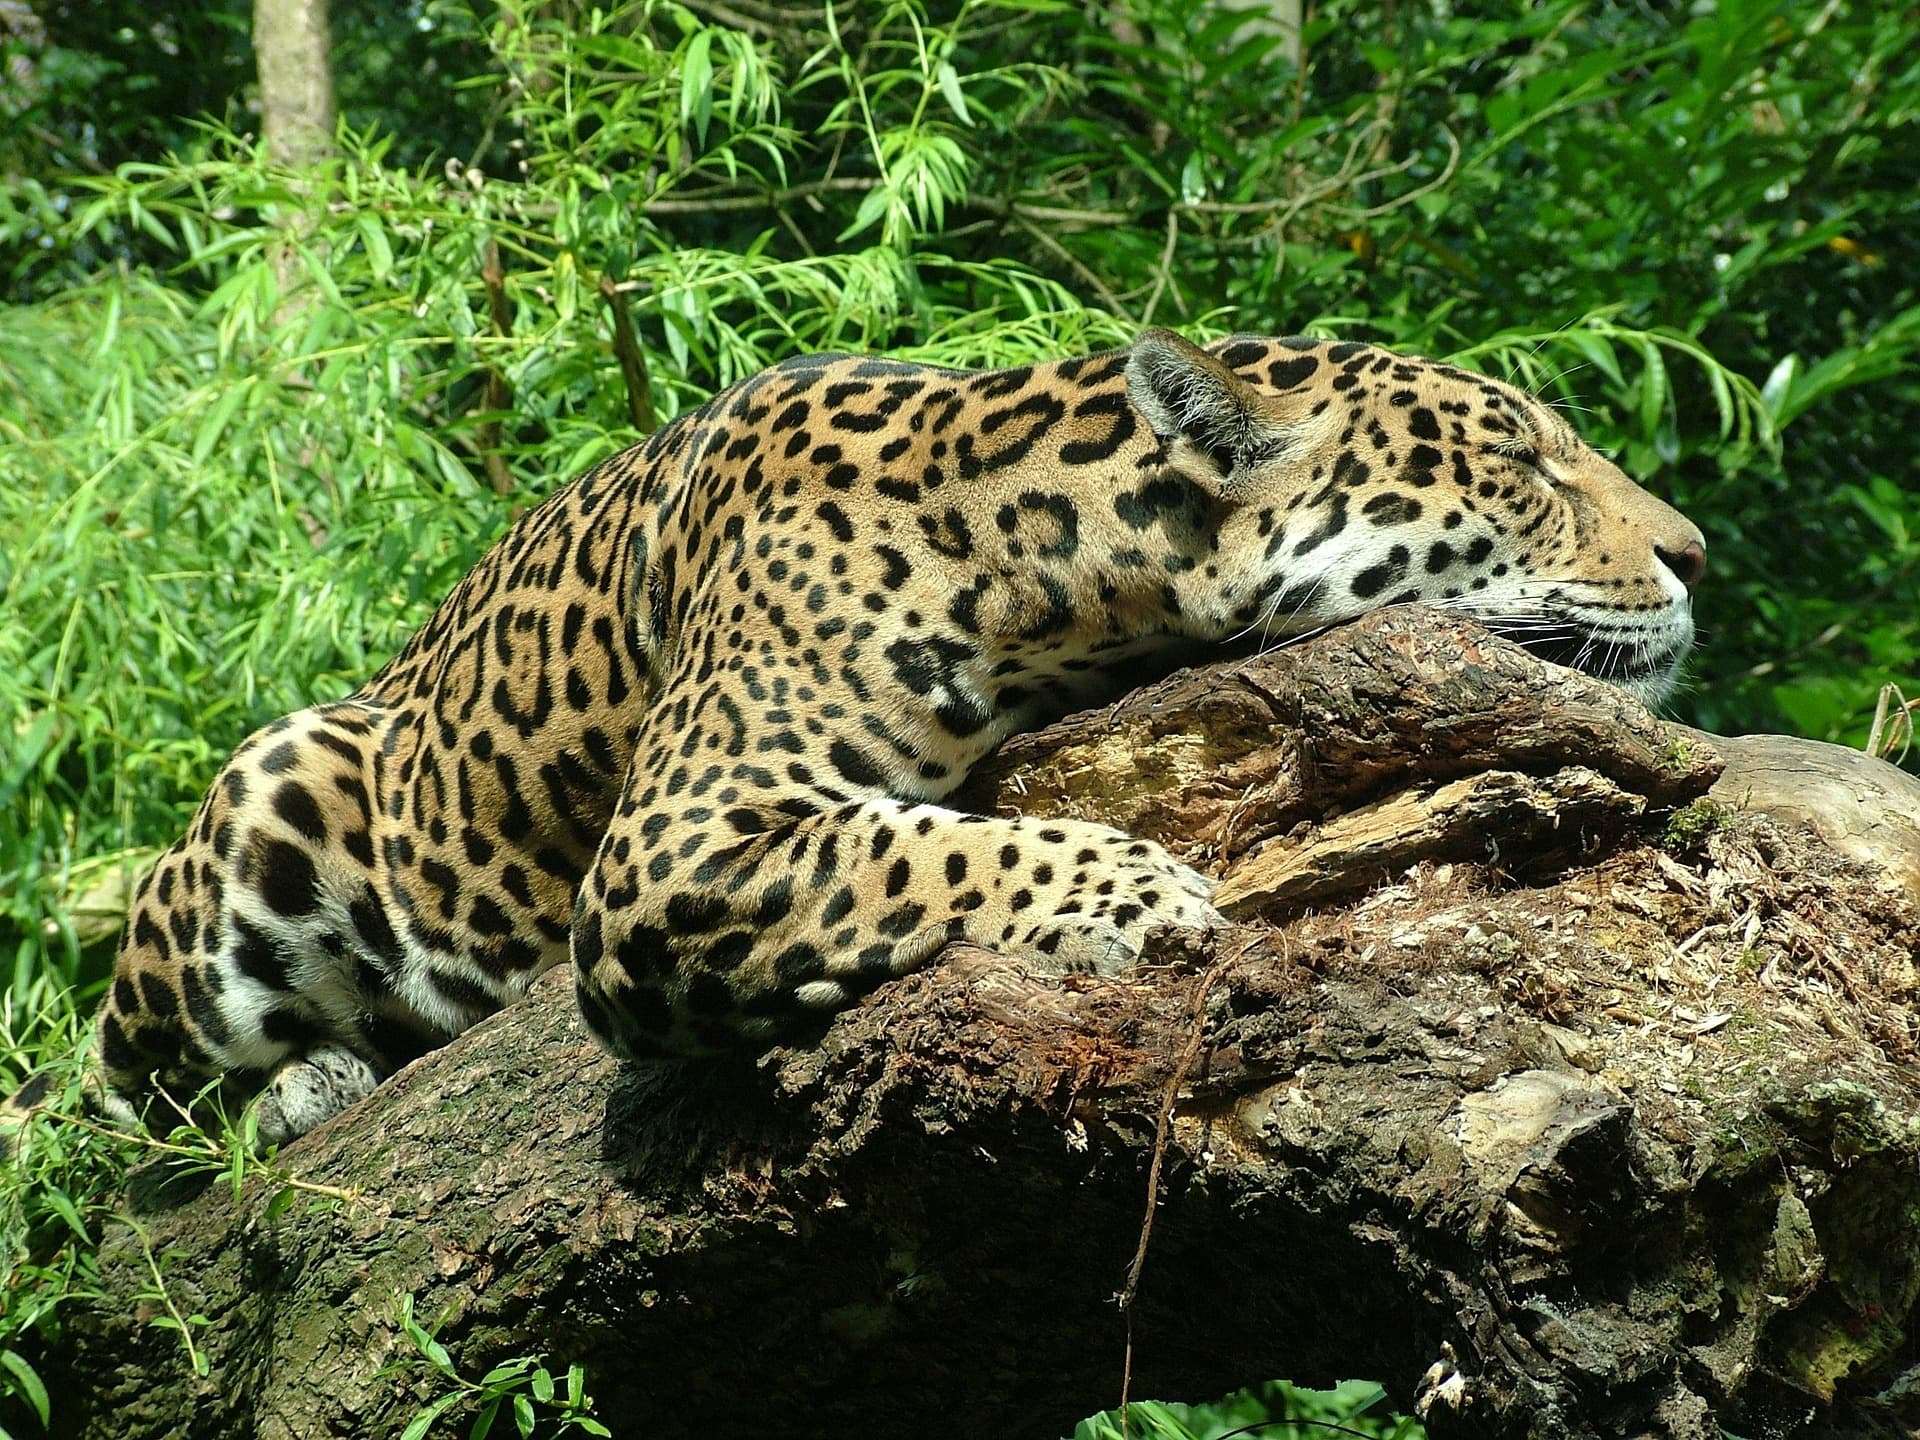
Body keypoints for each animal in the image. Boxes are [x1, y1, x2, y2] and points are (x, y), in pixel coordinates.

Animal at [70, 327, 1706, 1144]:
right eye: (1520, 461)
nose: (1695, 552)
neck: (1050, 555)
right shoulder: (669, 850)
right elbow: (913, 851)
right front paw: (1140, 897)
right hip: (263, 815)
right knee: (115, 1111)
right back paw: (296, 1087)